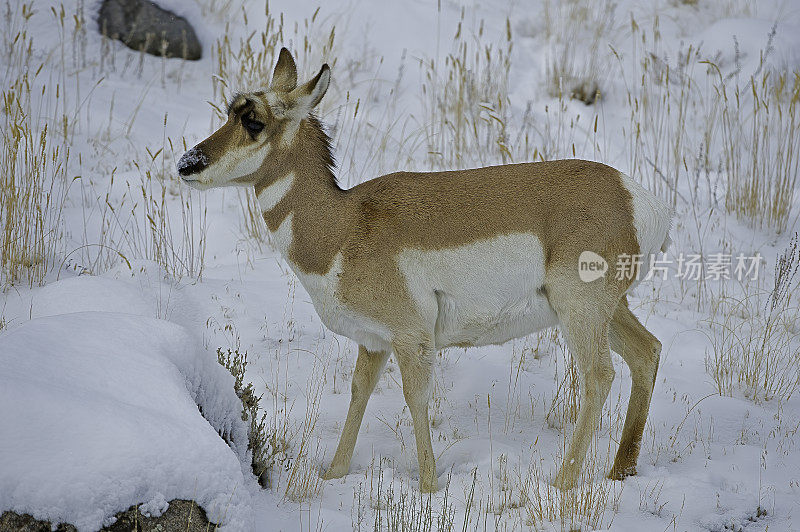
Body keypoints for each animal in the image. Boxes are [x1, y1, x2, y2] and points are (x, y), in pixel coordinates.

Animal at [178, 47, 672, 492]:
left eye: (253, 121)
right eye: (230, 111)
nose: (187, 163)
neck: (345, 223)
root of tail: (637, 197)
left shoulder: (411, 339)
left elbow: (415, 399)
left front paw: (429, 487)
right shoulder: (373, 342)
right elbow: (359, 392)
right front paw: (334, 475)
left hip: (580, 311)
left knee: (599, 376)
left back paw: (562, 483)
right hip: (605, 309)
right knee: (646, 351)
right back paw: (620, 470)